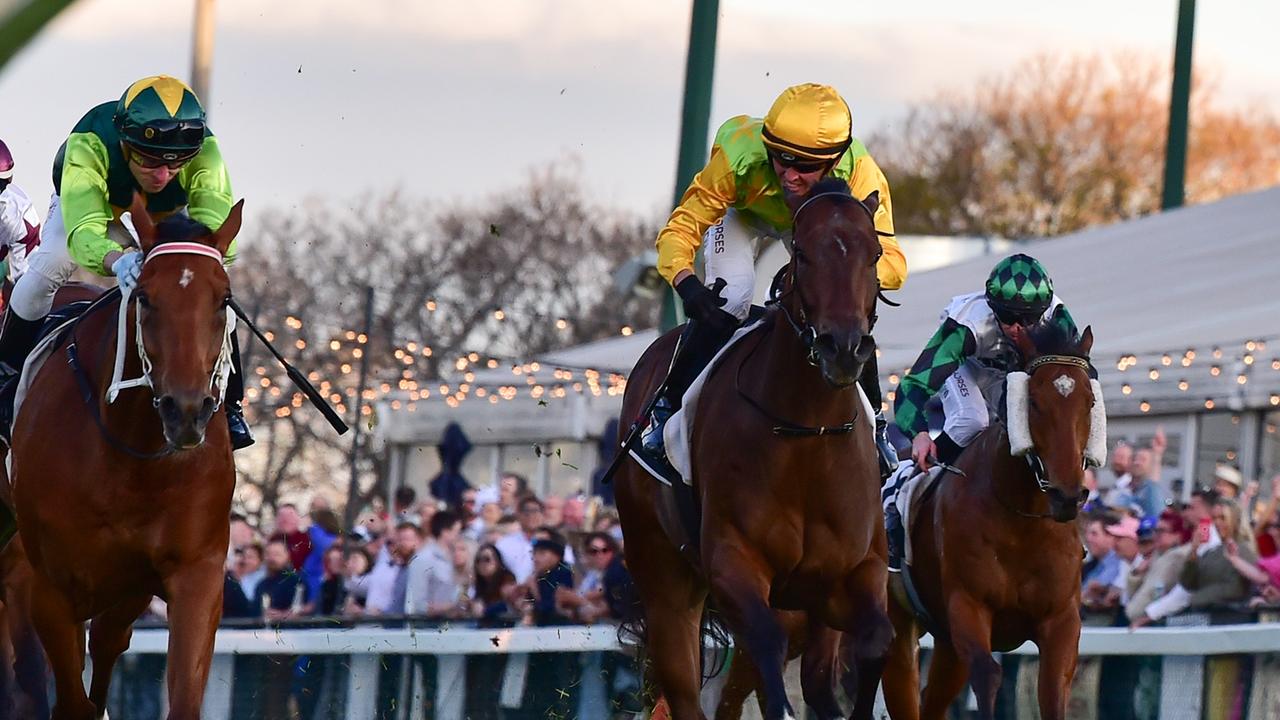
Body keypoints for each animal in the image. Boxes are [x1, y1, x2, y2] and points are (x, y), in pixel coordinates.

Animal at [7, 193, 243, 712]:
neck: (134, 462)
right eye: (146, 297)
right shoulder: (51, 588)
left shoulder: (193, 571)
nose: (186, 411)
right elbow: (70, 701)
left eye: (224, 300)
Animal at [614, 83, 906, 717]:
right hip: (665, 576)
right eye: (806, 253)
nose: (844, 347)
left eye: (873, 255)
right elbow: (768, 655)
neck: (806, 432)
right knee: (684, 689)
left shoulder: (852, 573)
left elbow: (875, 642)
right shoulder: (734, 564)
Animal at [880, 251, 1100, 712]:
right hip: (899, 623)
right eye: (1033, 402)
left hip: (945, 643)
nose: (1067, 495)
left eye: (1089, 400)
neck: (1022, 519)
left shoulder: (1062, 621)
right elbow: (989, 676)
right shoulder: (968, 607)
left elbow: (1052, 690)